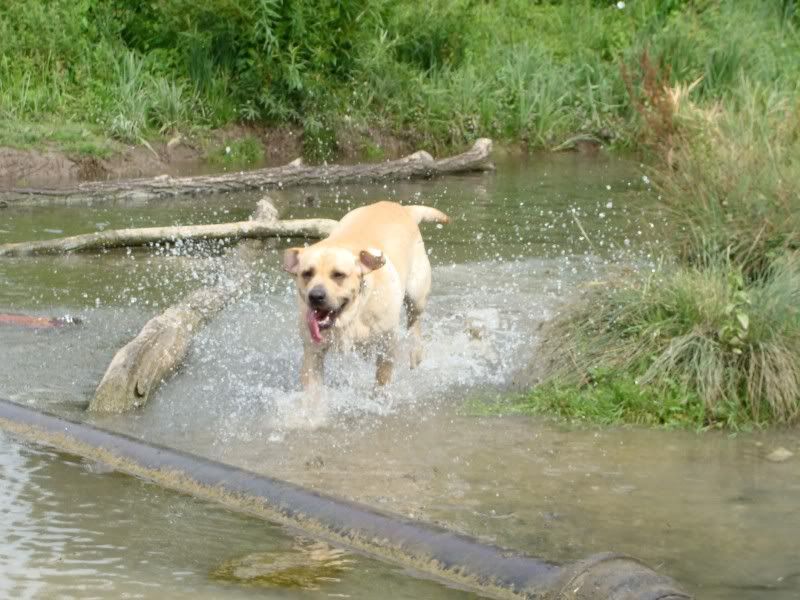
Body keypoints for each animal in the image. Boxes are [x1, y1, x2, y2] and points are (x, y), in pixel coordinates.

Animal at [282, 199, 446, 420]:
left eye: (338, 274)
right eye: (307, 273)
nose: (315, 296)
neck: (353, 313)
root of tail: (400, 207)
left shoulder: (387, 343)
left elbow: (382, 378)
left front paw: (379, 401)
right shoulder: (312, 351)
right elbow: (313, 388)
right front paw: (311, 414)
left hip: (416, 293)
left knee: (415, 322)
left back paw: (415, 352)